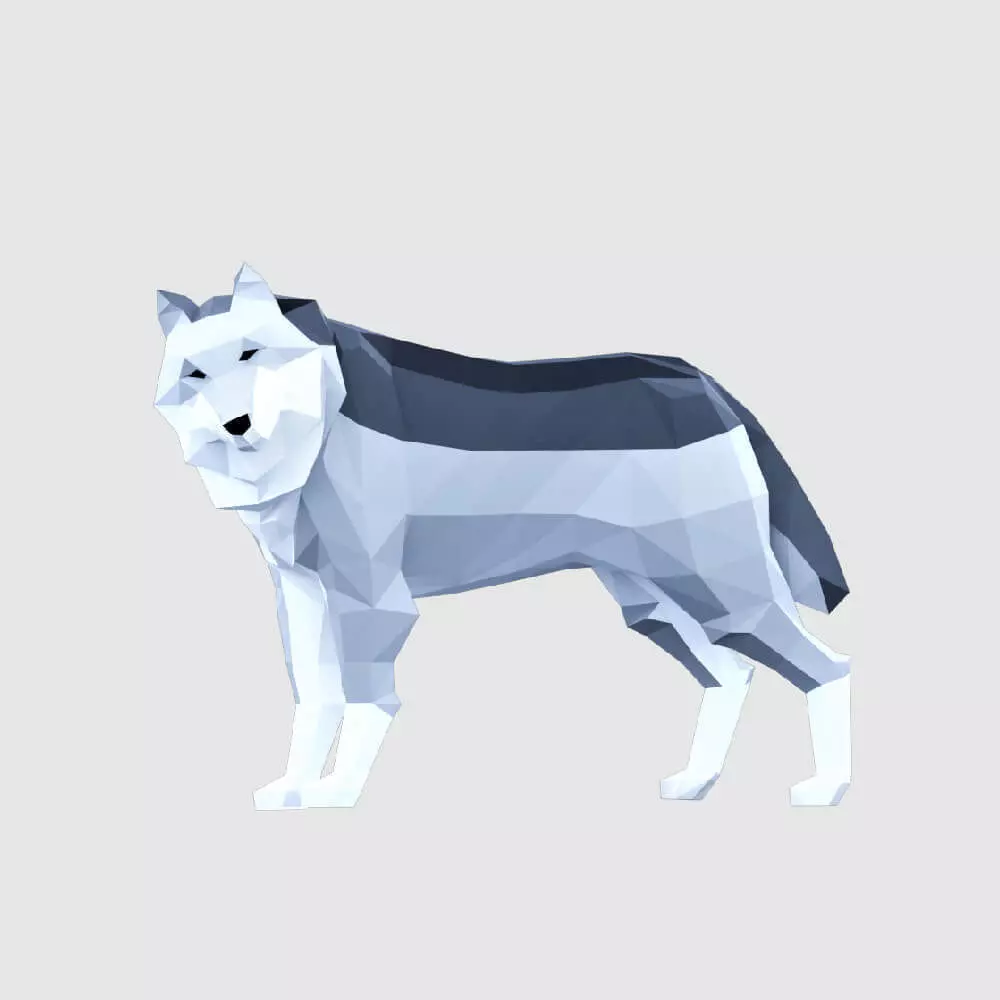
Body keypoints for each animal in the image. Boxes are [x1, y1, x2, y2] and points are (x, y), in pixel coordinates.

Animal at [153, 264, 851, 810]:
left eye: (251, 354)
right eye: (194, 374)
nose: (237, 424)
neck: (321, 417)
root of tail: (701, 382)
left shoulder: (372, 601)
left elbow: (366, 699)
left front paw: (337, 793)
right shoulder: (300, 595)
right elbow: (314, 698)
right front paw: (292, 790)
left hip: (725, 591)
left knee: (829, 667)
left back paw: (828, 790)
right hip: (656, 604)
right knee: (733, 675)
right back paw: (696, 783)